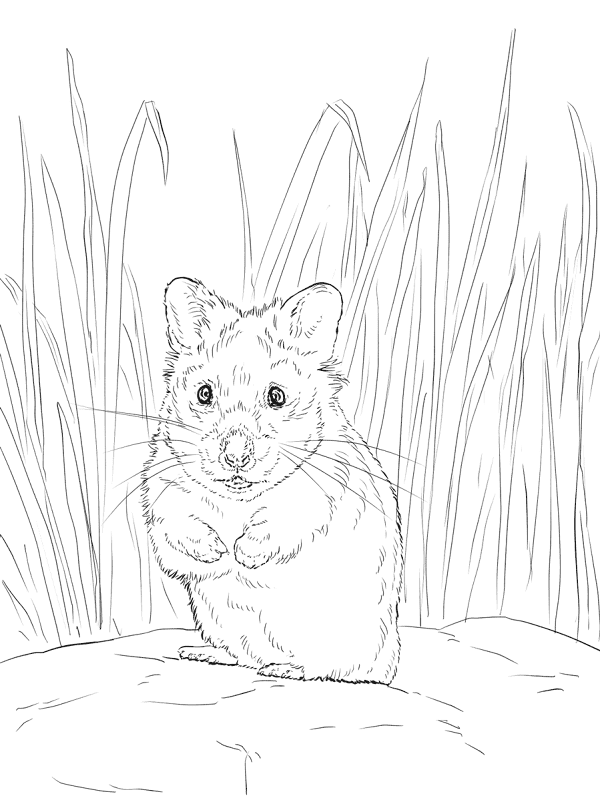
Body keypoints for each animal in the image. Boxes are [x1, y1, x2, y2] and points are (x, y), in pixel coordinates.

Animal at [141, 278, 403, 683]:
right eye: (204, 393)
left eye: (277, 396)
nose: (235, 457)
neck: (237, 500)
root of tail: (387, 663)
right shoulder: (164, 487)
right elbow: (179, 525)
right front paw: (217, 552)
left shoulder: (318, 494)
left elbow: (278, 522)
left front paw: (240, 555)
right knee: (241, 657)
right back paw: (199, 652)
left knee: (329, 668)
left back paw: (284, 668)